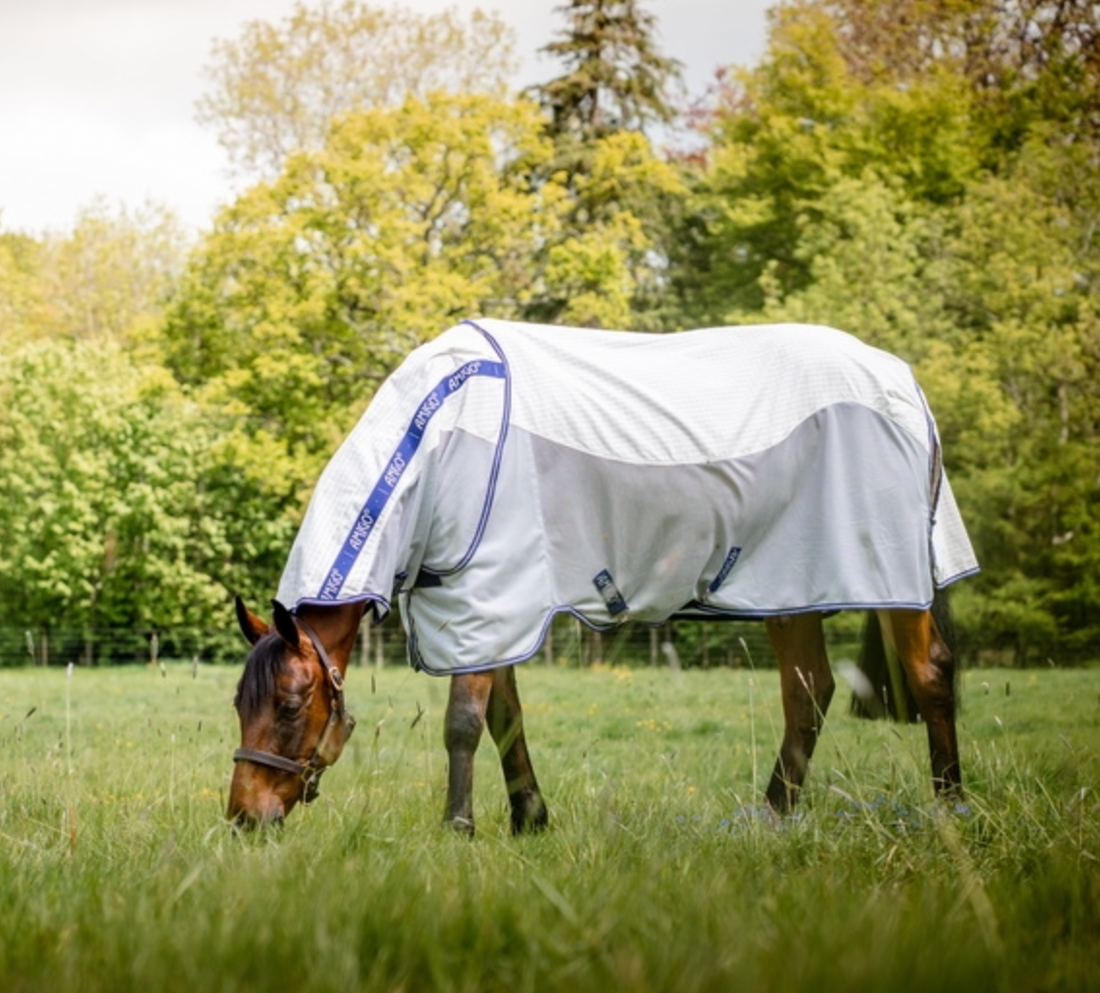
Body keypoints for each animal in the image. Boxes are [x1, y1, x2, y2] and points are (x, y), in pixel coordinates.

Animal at [227, 319, 977, 830]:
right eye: (239, 703)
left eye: (290, 705)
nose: (244, 817)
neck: (436, 442)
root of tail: (902, 381)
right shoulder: (491, 610)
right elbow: (504, 717)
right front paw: (530, 819)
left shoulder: (490, 597)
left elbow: (464, 722)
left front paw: (458, 829)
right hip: (792, 588)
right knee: (809, 693)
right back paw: (770, 818)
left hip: (883, 582)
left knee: (929, 672)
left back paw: (952, 806)